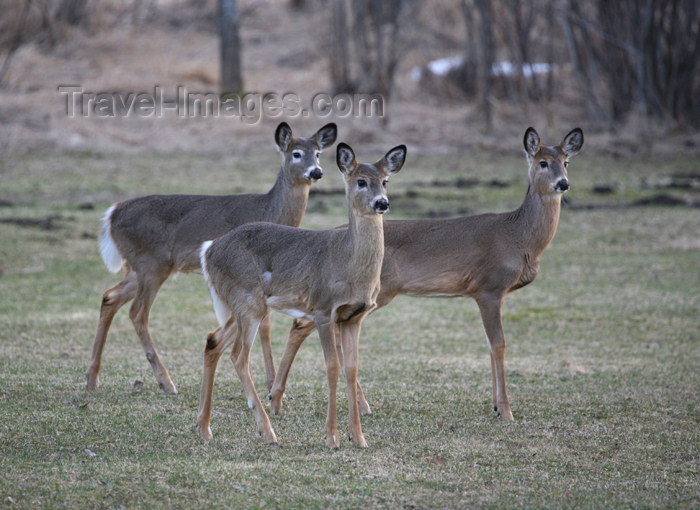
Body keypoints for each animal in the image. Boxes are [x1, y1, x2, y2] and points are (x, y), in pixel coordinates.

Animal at [86, 122, 338, 394]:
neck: (271, 211)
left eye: (318, 153)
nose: (316, 172)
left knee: (110, 297)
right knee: (138, 312)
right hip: (151, 264)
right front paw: (269, 384)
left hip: (137, 267)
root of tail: (112, 214)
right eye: (296, 153)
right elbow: (265, 325)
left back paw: (92, 378)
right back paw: (166, 381)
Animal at [196, 141, 404, 448]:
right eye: (361, 181)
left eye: (385, 181)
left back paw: (204, 428)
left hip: (241, 304)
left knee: (213, 341)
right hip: (248, 301)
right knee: (238, 355)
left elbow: (352, 369)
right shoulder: (323, 309)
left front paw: (358, 437)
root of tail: (208, 250)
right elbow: (332, 366)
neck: (347, 264)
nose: (382, 203)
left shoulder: (354, 317)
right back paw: (268, 432)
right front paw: (332, 437)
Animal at [266, 126, 584, 422]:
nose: (563, 183)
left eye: (566, 162)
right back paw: (282, 398)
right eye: (542, 162)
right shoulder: (488, 287)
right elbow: (499, 344)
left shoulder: (493, 292)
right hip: (373, 292)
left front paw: (496, 406)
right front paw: (506, 411)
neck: (519, 236)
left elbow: (491, 345)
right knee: (303, 325)